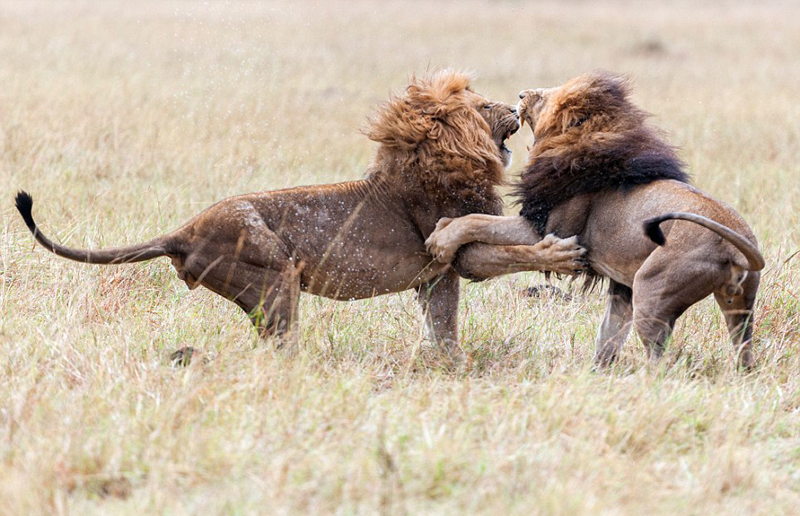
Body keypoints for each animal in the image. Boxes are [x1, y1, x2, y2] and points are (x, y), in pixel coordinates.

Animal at [15, 69, 584, 358]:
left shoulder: (437, 276)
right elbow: (515, 253)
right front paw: (560, 254)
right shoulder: (457, 253)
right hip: (274, 276)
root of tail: (183, 231)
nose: (514, 105)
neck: (435, 158)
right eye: (485, 107)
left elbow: (444, 328)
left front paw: (448, 368)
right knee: (275, 352)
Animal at [428, 70, 764, 368]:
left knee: (661, 363)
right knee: (744, 355)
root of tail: (735, 246)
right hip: (738, 308)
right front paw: (595, 375)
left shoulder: (547, 229)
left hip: (652, 289)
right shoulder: (621, 285)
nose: (521, 96)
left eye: (543, 99)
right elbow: (608, 335)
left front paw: (441, 238)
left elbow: (478, 220)